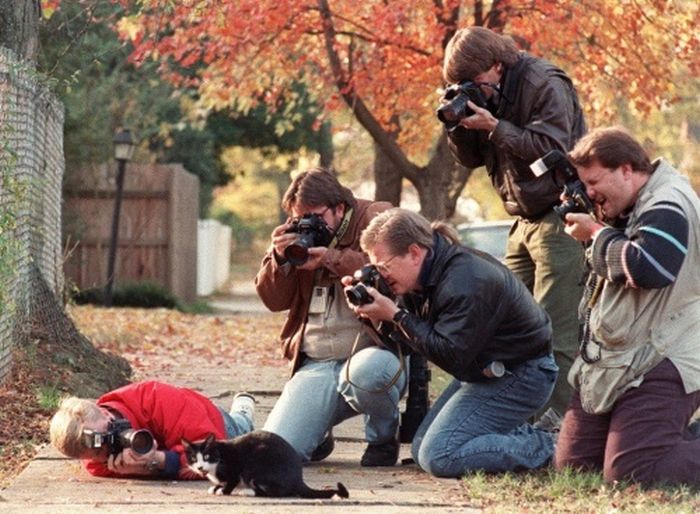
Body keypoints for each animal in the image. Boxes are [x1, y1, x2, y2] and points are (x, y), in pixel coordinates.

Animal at [183, 428, 350, 496]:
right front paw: (216, 487)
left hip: (256, 467)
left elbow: (231, 481)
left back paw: (248, 491)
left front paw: (223, 490)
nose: (200, 467)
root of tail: (298, 479)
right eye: (193, 459)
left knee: (277, 493)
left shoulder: (234, 469)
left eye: (206, 456)